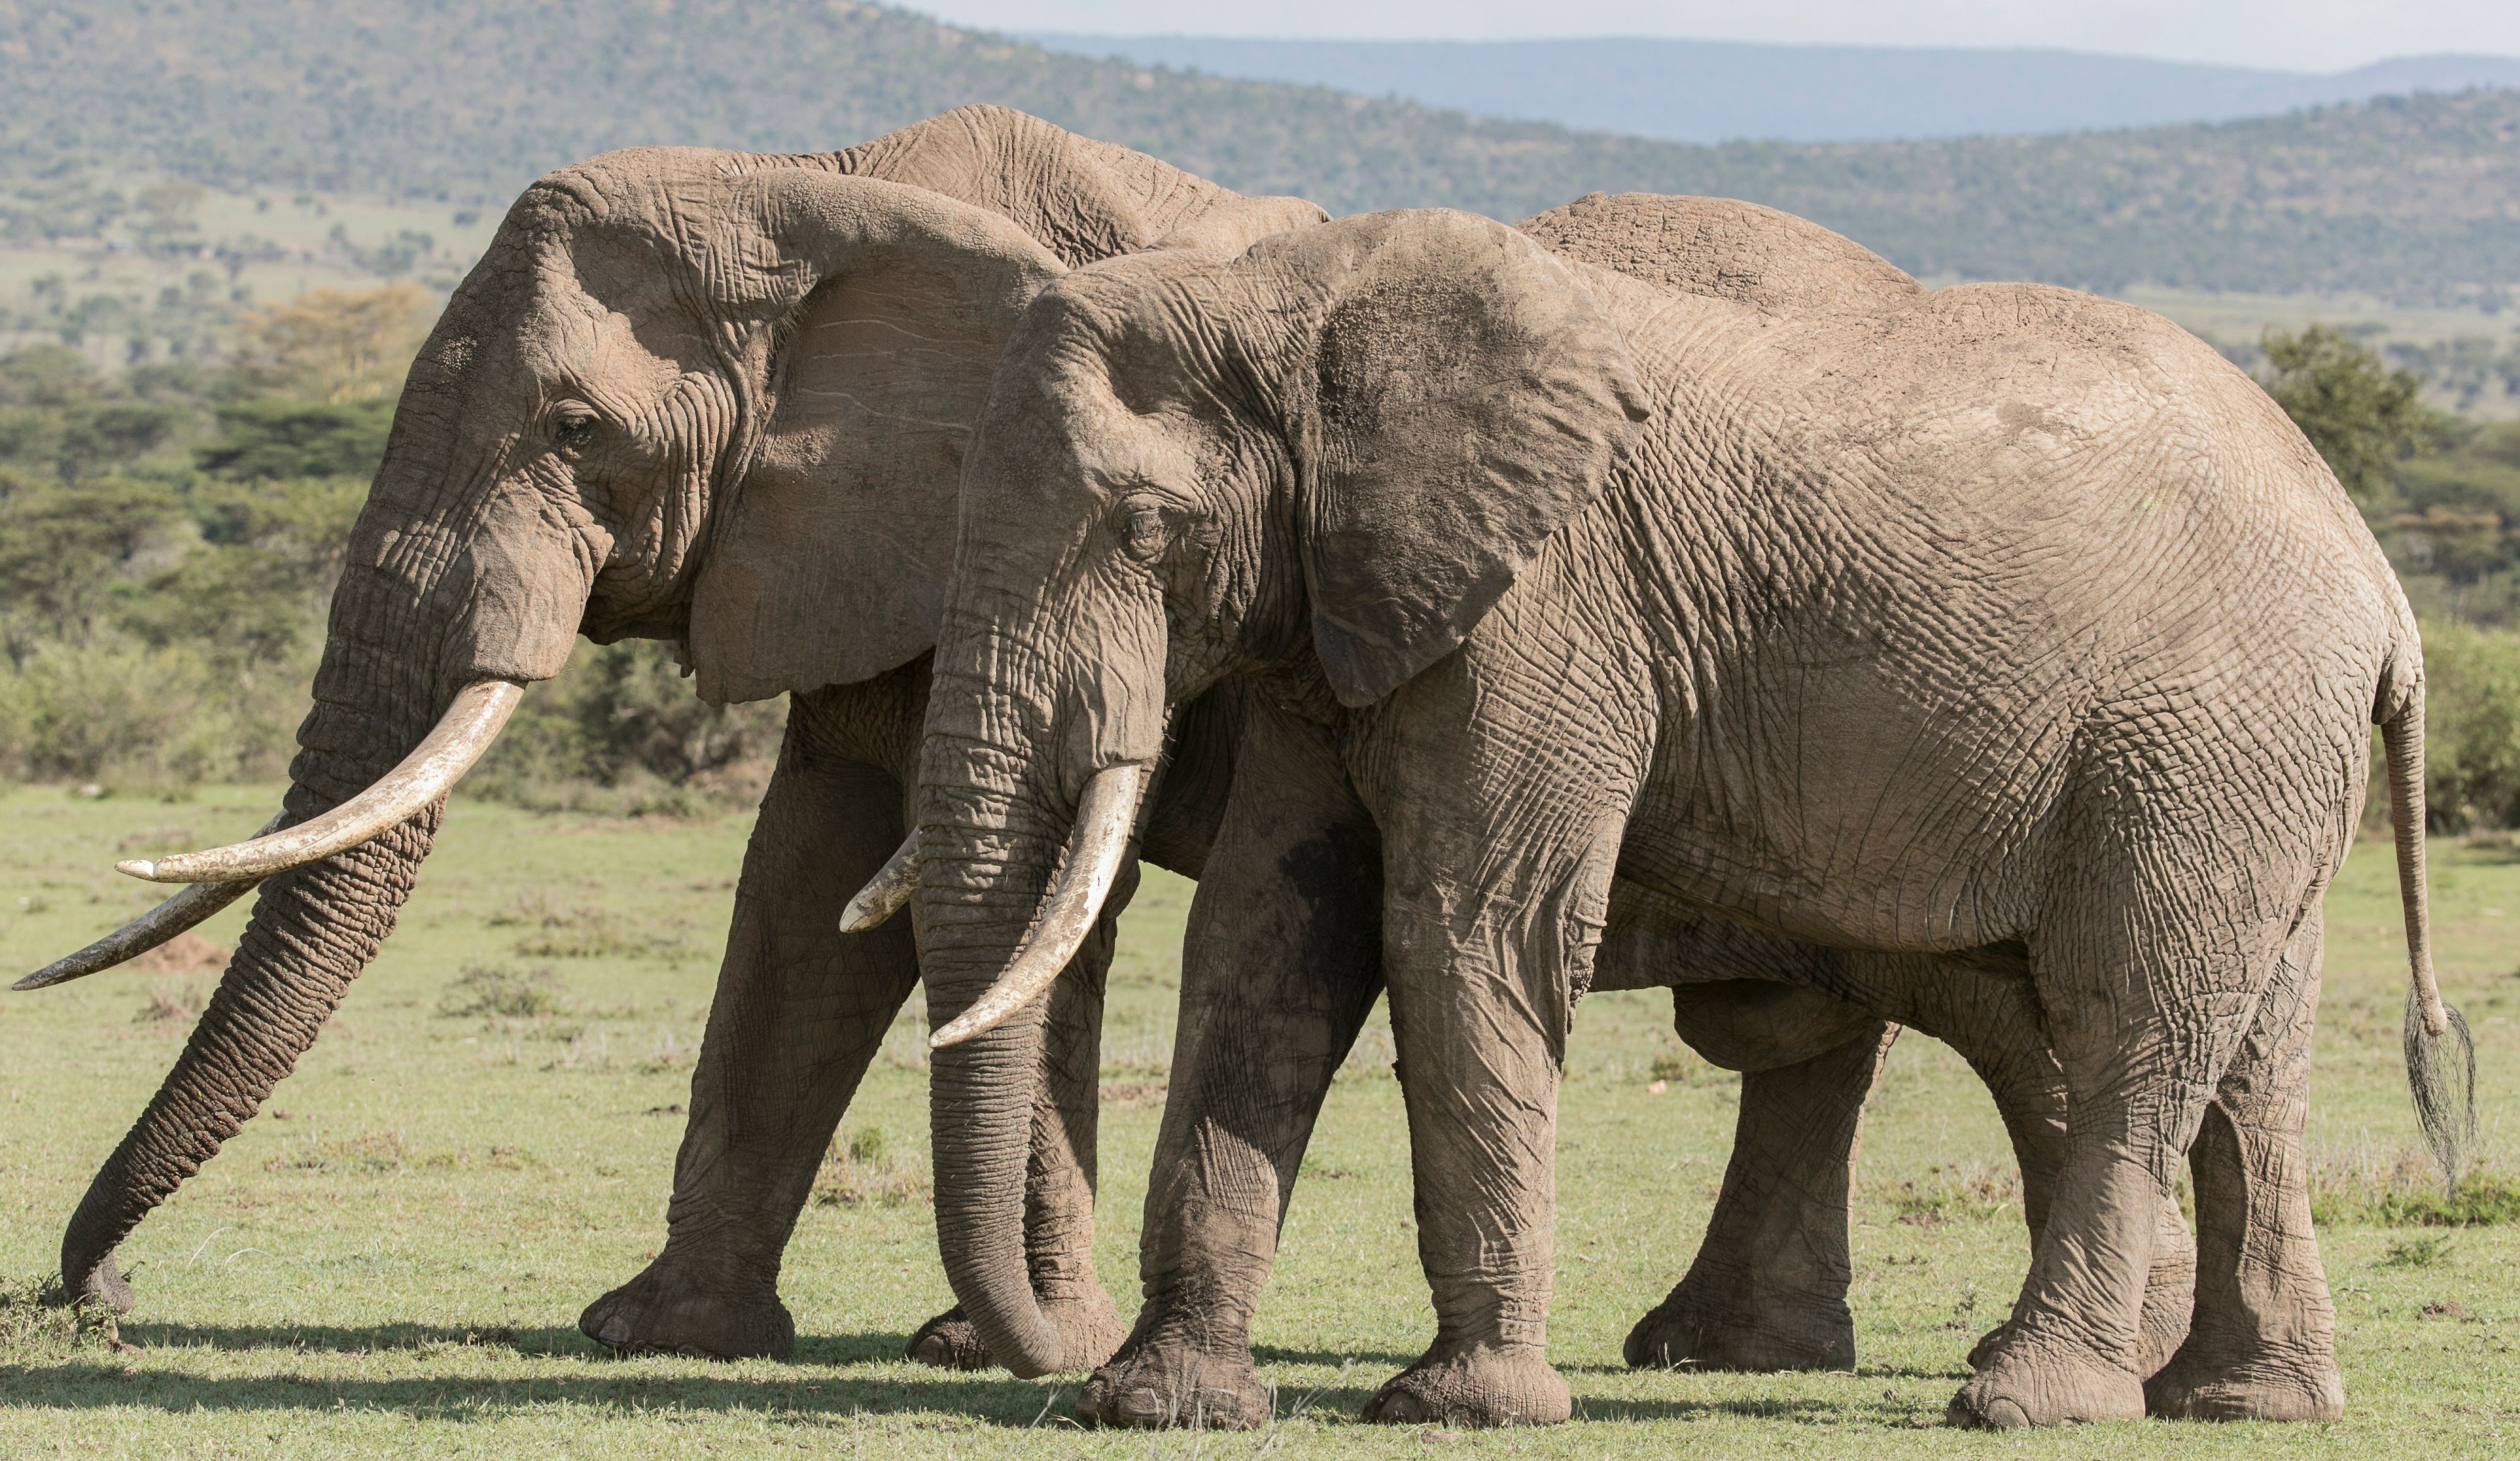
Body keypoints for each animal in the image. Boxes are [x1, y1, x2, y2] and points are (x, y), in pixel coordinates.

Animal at [880, 196, 2462, 1430]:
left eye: (1148, 530)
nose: (1033, 1356)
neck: (1304, 298)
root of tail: (2384, 590)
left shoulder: (1553, 610)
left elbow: (1464, 931)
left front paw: (1462, 1411)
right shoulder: (1338, 601)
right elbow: (1268, 939)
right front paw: (1164, 1407)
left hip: (2196, 747)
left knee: (2129, 1019)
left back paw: (2030, 1402)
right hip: (2254, 763)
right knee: (2252, 1055)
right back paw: (2241, 1405)